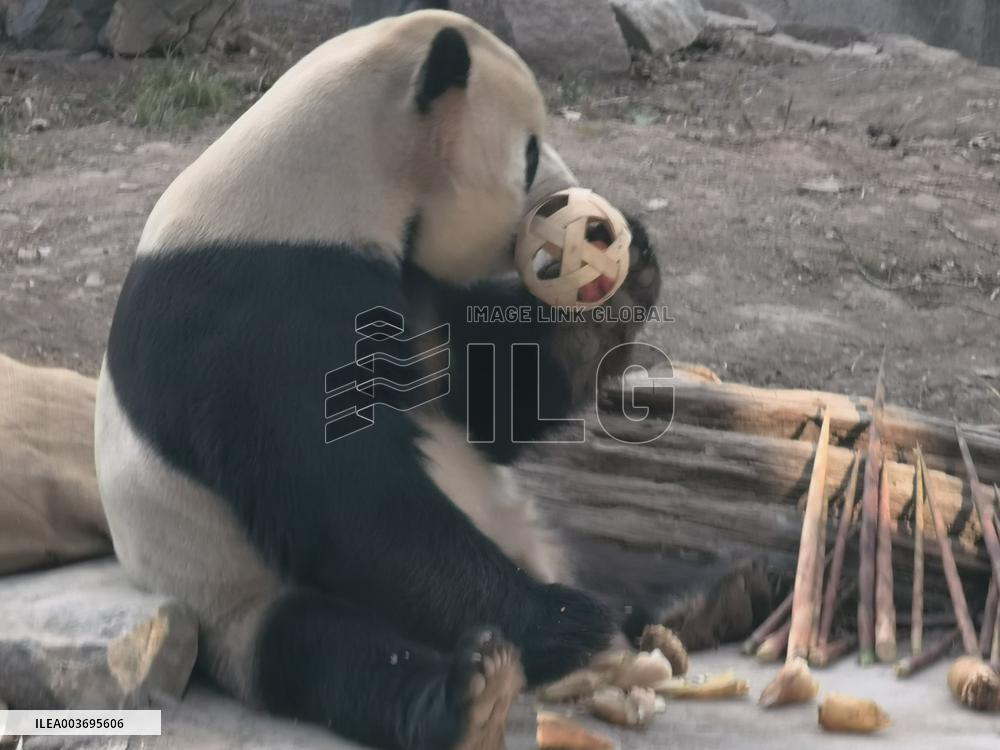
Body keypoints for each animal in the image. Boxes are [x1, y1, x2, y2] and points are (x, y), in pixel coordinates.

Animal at [95, 6, 766, 750]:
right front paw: (560, 628)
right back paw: (483, 685)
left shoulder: (412, 284)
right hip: (229, 596)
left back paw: (709, 593)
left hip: (529, 523)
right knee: (327, 650)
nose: (569, 201)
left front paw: (624, 275)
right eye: (528, 153)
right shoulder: (259, 313)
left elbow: (490, 408)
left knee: (606, 558)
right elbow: (346, 496)